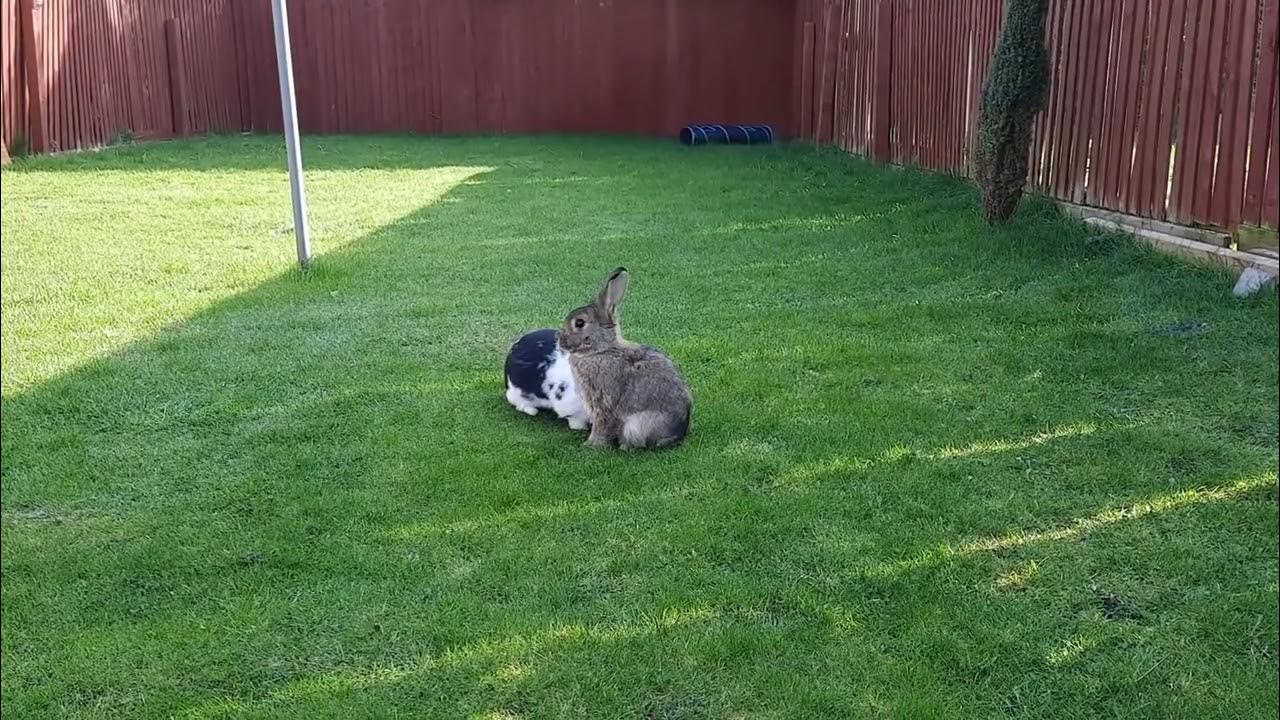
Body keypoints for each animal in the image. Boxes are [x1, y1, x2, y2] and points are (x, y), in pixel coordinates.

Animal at [558, 267, 692, 449]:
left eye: (579, 323)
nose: (560, 340)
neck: (601, 350)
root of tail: (678, 433)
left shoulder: (602, 402)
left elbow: (602, 425)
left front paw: (591, 444)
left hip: (636, 426)